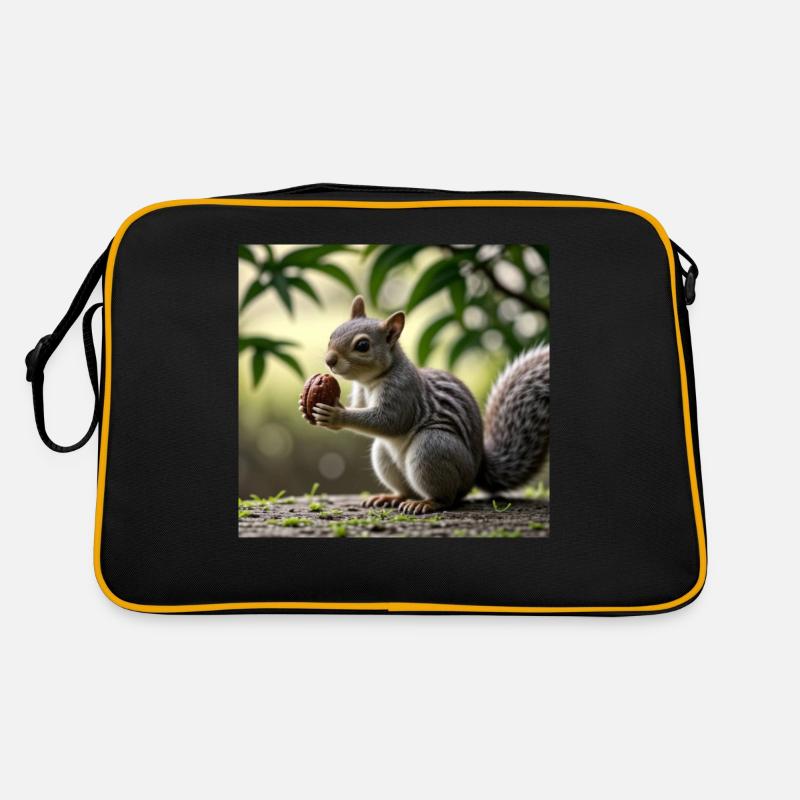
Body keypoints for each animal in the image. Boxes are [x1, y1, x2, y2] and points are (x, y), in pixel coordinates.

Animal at [301, 295, 549, 515]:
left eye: (362, 345)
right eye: (332, 334)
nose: (329, 360)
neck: (372, 381)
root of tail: (476, 471)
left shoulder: (404, 392)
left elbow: (389, 421)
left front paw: (335, 415)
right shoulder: (362, 393)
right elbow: (363, 408)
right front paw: (308, 406)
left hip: (432, 448)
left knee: (447, 498)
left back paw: (427, 504)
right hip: (384, 455)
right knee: (406, 489)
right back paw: (392, 497)